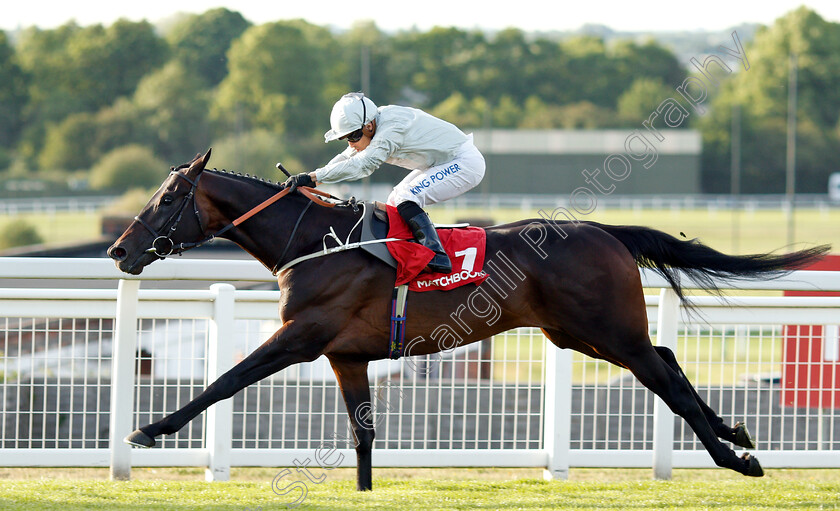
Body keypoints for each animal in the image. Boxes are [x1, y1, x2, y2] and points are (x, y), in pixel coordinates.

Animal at [108, 149, 832, 488]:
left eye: (168, 198)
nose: (119, 249)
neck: (315, 240)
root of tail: (606, 231)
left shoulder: (302, 335)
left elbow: (224, 381)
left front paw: (149, 428)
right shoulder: (347, 354)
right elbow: (362, 433)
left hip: (608, 331)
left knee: (668, 379)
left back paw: (735, 457)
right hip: (583, 333)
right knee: (672, 363)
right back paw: (736, 430)